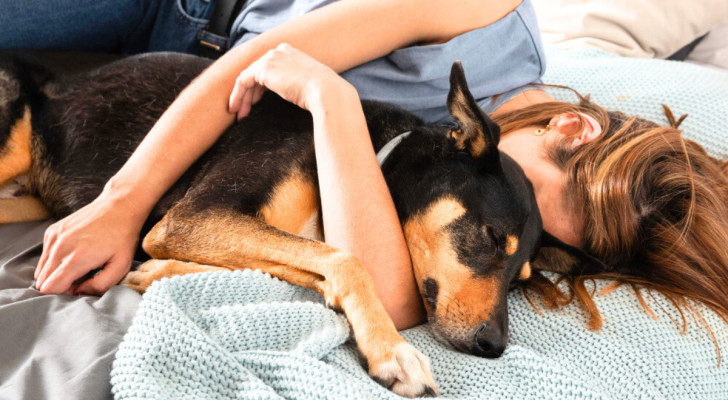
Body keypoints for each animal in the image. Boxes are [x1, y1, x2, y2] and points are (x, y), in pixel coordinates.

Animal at [0, 52, 544, 396]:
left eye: (521, 283)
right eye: (491, 236)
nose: (494, 348)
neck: (375, 152)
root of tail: (63, 80)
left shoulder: (207, 232)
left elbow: (293, 271)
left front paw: (158, 272)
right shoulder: (191, 217)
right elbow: (346, 258)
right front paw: (394, 352)